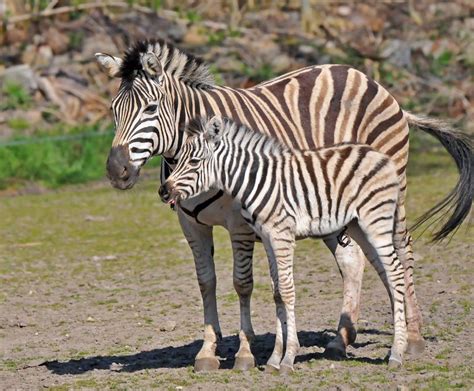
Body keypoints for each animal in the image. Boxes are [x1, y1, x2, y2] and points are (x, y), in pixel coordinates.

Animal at [160, 115, 412, 370]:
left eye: (194, 161)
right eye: (179, 160)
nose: (163, 191)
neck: (254, 181)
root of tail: (379, 154)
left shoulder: (282, 236)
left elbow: (288, 291)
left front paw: (289, 357)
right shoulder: (268, 238)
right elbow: (278, 293)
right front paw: (274, 359)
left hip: (376, 221)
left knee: (396, 272)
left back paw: (397, 352)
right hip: (357, 225)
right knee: (386, 272)